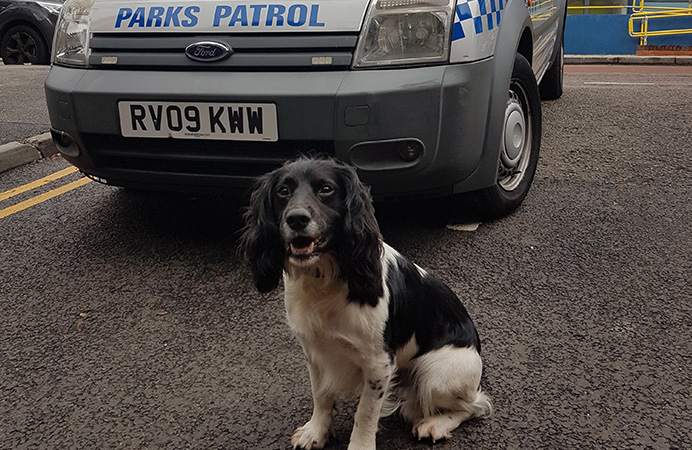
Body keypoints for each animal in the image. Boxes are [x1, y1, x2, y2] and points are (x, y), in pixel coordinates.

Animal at [239, 156, 492, 448]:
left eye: (326, 189)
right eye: (283, 191)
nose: (296, 219)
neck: (326, 279)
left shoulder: (378, 364)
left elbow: (366, 412)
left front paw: (359, 444)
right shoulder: (315, 351)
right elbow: (321, 394)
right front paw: (316, 431)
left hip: (437, 373)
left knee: (475, 406)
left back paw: (435, 424)